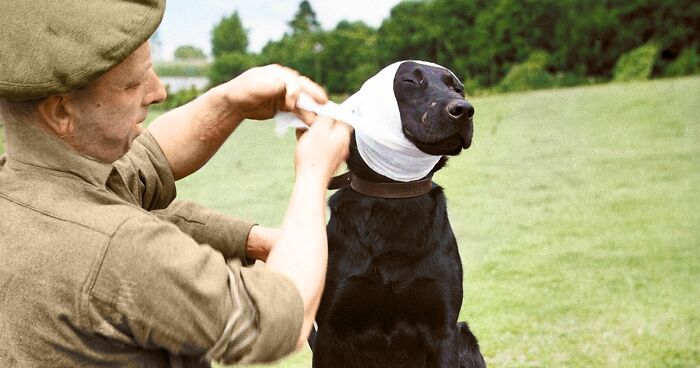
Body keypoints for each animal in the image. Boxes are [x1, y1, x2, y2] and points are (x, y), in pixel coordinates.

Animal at [314, 61, 486, 366]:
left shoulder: (444, 329)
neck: (396, 196)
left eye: (458, 87)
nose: (464, 109)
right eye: (410, 81)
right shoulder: (329, 331)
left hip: (466, 339)